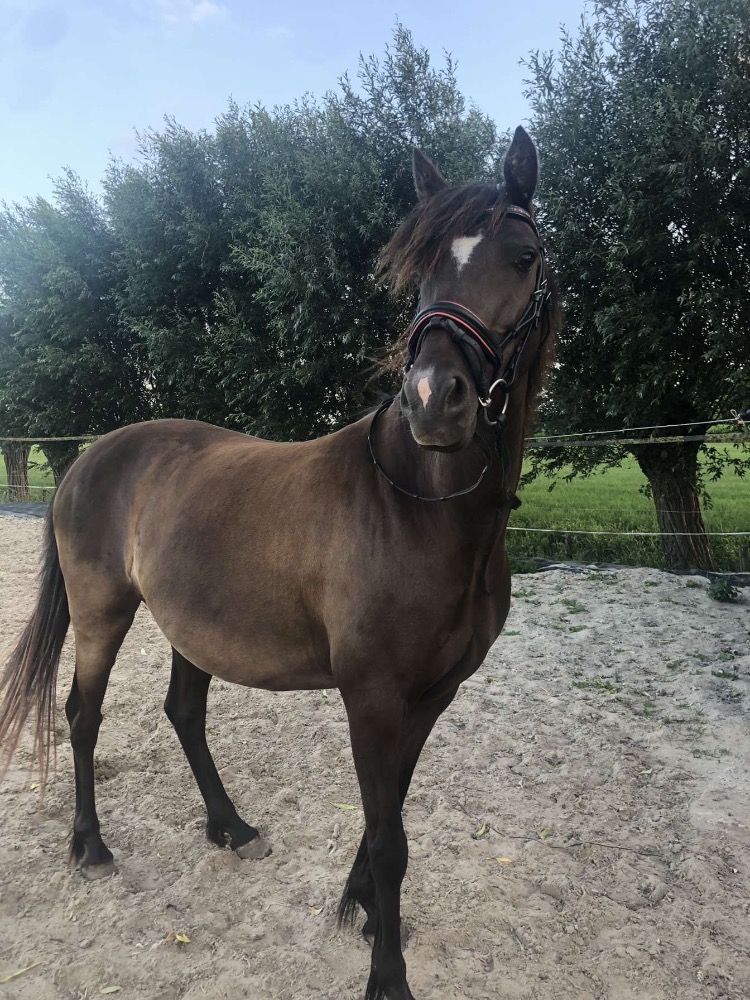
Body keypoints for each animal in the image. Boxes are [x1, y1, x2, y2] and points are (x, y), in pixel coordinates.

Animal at [0, 126, 559, 1000]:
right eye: (422, 269)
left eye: (523, 256)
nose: (433, 399)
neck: (421, 507)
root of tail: (92, 455)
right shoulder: (372, 698)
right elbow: (389, 837)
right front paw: (386, 973)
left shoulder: (430, 697)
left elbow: (388, 817)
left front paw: (361, 909)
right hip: (102, 612)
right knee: (83, 715)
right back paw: (90, 846)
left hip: (189, 627)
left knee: (183, 714)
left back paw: (230, 828)